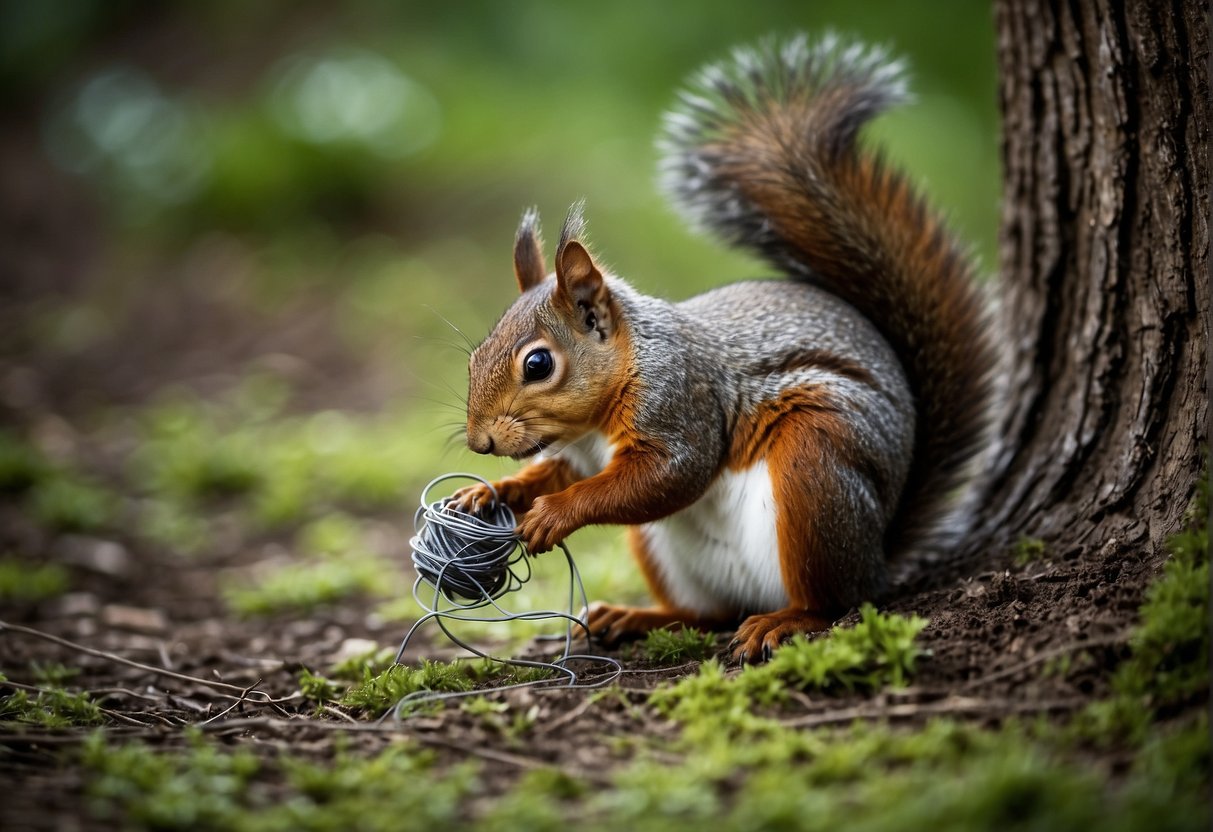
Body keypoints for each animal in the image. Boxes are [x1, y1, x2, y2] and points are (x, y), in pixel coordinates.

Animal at [451, 34, 989, 664]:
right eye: (473, 358)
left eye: (537, 364)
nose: (479, 442)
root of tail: (879, 553)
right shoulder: (579, 453)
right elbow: (554, 472)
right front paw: (487, 493)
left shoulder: (680, 402)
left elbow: (668, 477)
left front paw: (555, 514)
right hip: (668, 555)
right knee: (706, 614)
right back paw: (635, 616)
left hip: (817, 470)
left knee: (834, 601)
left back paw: (784, 622)